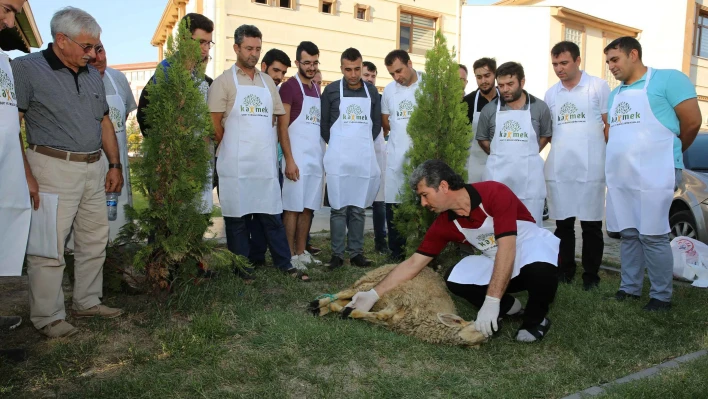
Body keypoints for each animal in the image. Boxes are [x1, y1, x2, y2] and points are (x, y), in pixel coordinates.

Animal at [310, 266, 486, 346]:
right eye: (475, 326)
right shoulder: (403, 298)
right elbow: (382, 314)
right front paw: (346, 312)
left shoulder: (394, 319)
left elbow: (378, 316)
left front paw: (347, 312)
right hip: (371, 283)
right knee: (346, 292)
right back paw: (317, 304)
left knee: (346, 298)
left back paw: (324, 309)